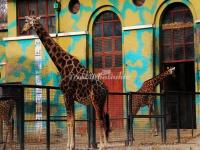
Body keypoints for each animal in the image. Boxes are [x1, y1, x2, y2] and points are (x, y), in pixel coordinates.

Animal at [21, 15, 111, 149]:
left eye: (27, 21)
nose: (22, 30)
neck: (61, 65)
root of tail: (105, 89)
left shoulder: (66, 94)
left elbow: (69, 121)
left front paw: (69, 146)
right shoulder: (70, 96)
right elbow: (71, 120)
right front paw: (71, 145)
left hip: (96, 101)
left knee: (100, 120)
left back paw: (102, 146)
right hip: (101, 102)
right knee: (104, 119)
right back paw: (104, 145)